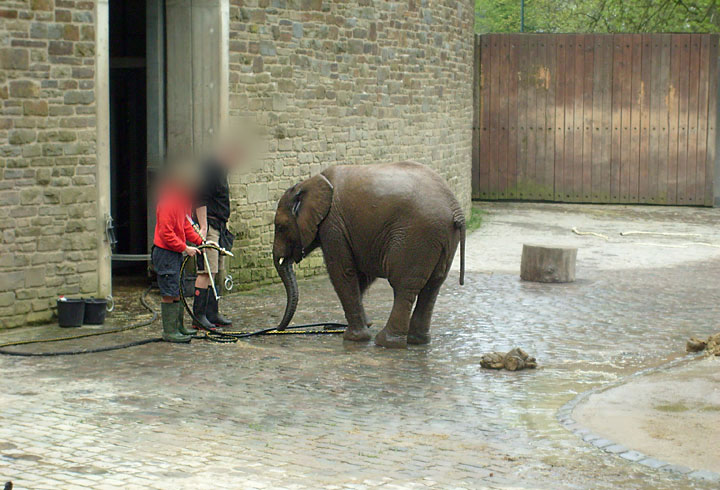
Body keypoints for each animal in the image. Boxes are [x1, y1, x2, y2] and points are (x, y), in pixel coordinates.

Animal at [272, 161, 466, 348]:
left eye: (280, 227)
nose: (278, 329)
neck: (308, 182)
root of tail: (455, 209)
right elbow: (362, 276)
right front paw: (367, 325)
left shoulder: (333, 225)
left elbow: (342, 272)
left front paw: (354, 337)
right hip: (443, 239)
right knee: (432, 286)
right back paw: (417, 341)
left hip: (416, 236)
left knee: (404, 286)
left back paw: (386, 343)